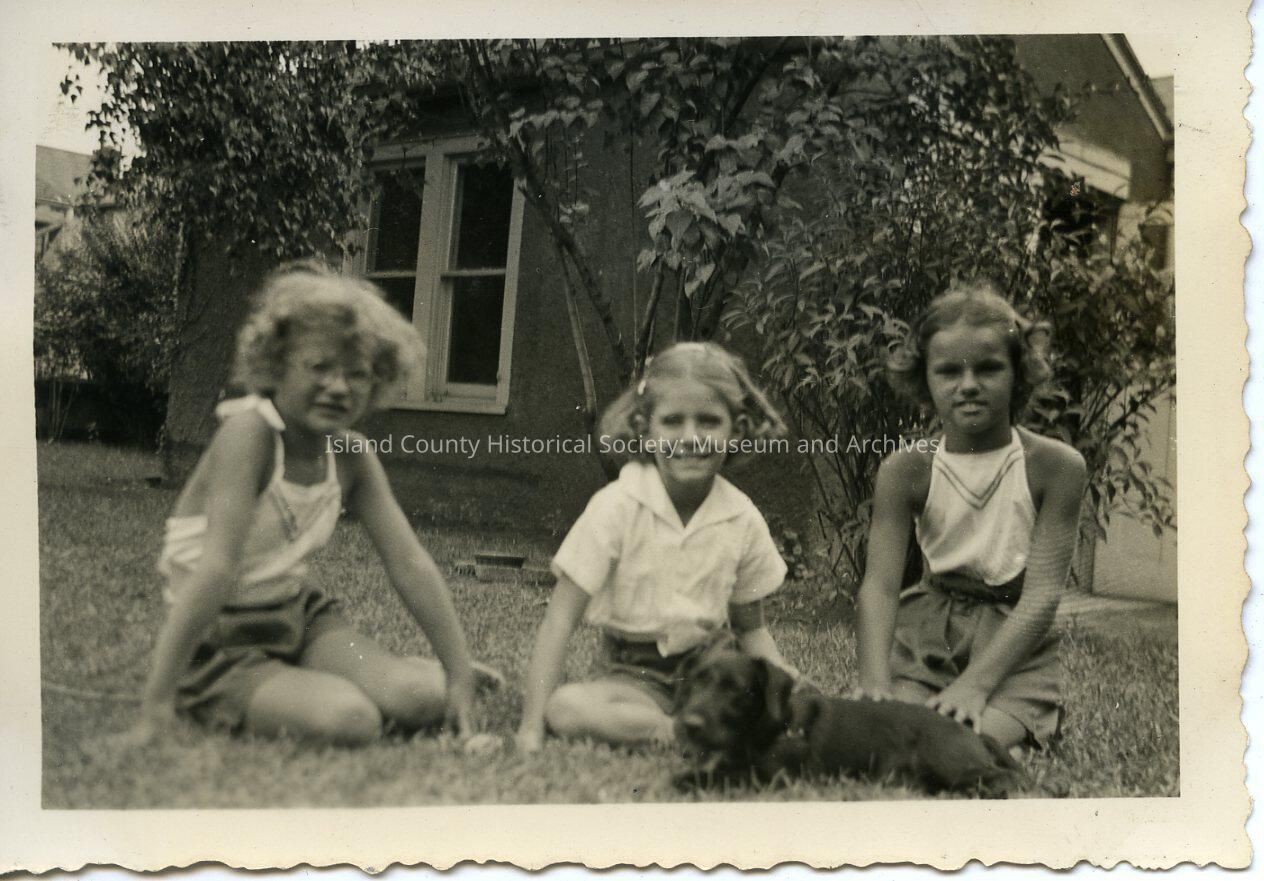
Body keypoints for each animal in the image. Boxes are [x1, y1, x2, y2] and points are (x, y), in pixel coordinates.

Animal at [673, 650, 1034, 796]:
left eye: (736, 689)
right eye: (693, 683)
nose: (688, 725)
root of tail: (973, 733)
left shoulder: (775, 777)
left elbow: (721, 778)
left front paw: (683, 781)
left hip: (951, 763)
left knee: (1007, 778)